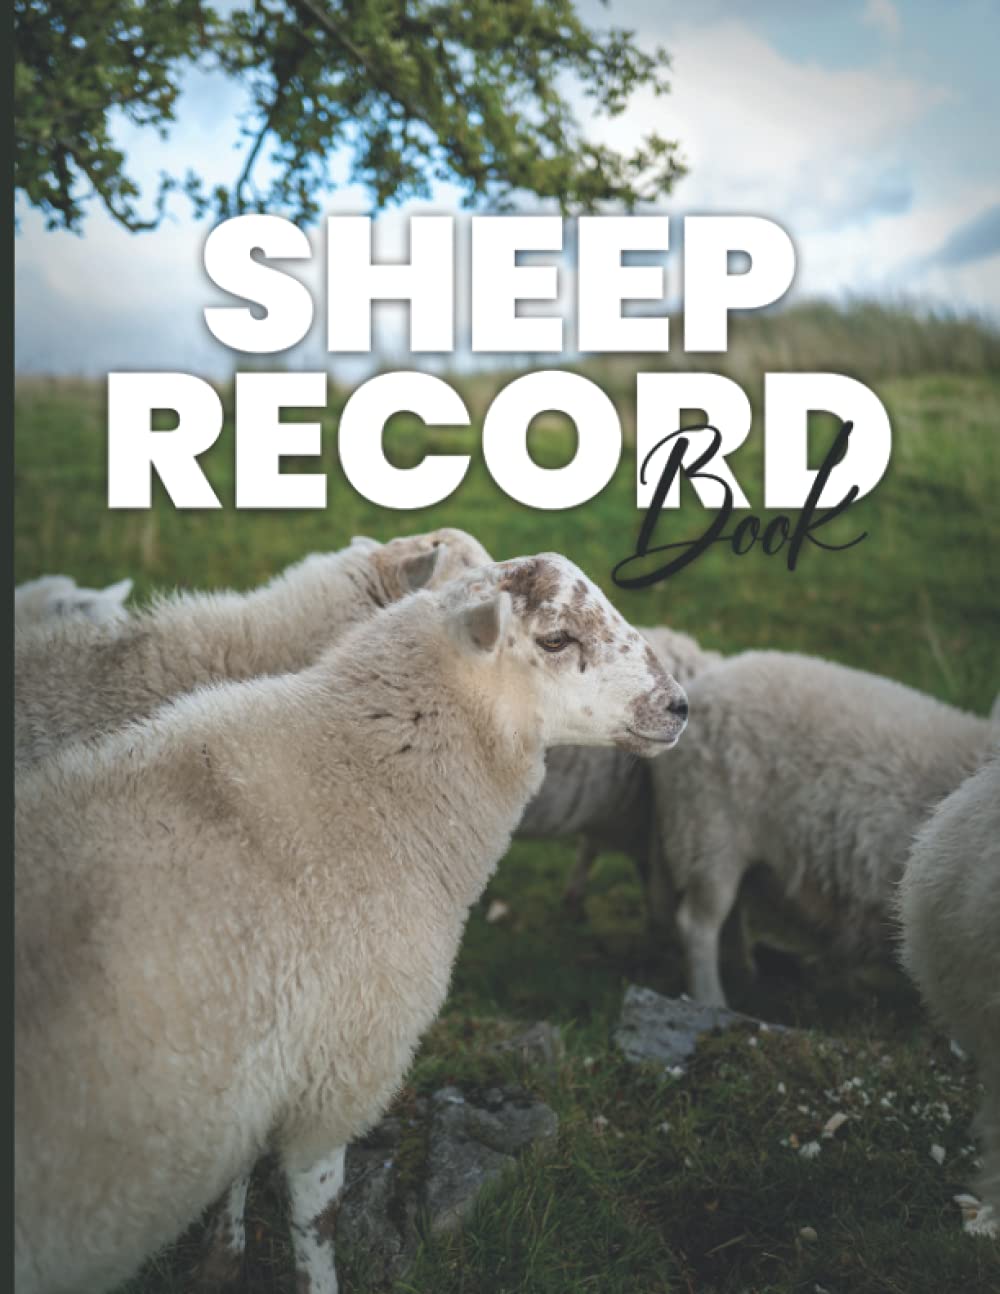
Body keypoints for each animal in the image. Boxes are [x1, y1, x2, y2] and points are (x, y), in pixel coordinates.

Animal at [647, 650, 996, 1007]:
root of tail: (706, 681)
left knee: (731, 915)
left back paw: (744, 977)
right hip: (709, 830)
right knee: (698, 924)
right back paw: (711, 999)